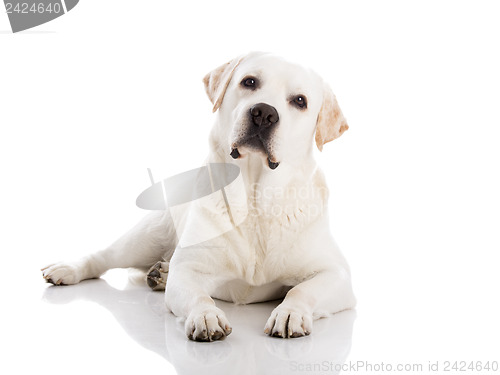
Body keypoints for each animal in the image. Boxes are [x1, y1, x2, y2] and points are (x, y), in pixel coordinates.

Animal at [42, 51, 356, 342]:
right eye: (249, 82)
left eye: (300, 101)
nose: (264, 113)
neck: (254, 197)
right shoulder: (188, 272)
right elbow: (198, 295)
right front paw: (206, 316)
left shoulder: (337, 274)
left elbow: (302, 290)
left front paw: (290, 312)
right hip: (146, 237)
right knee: (104, 256)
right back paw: (68, 269)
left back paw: (160, 273)